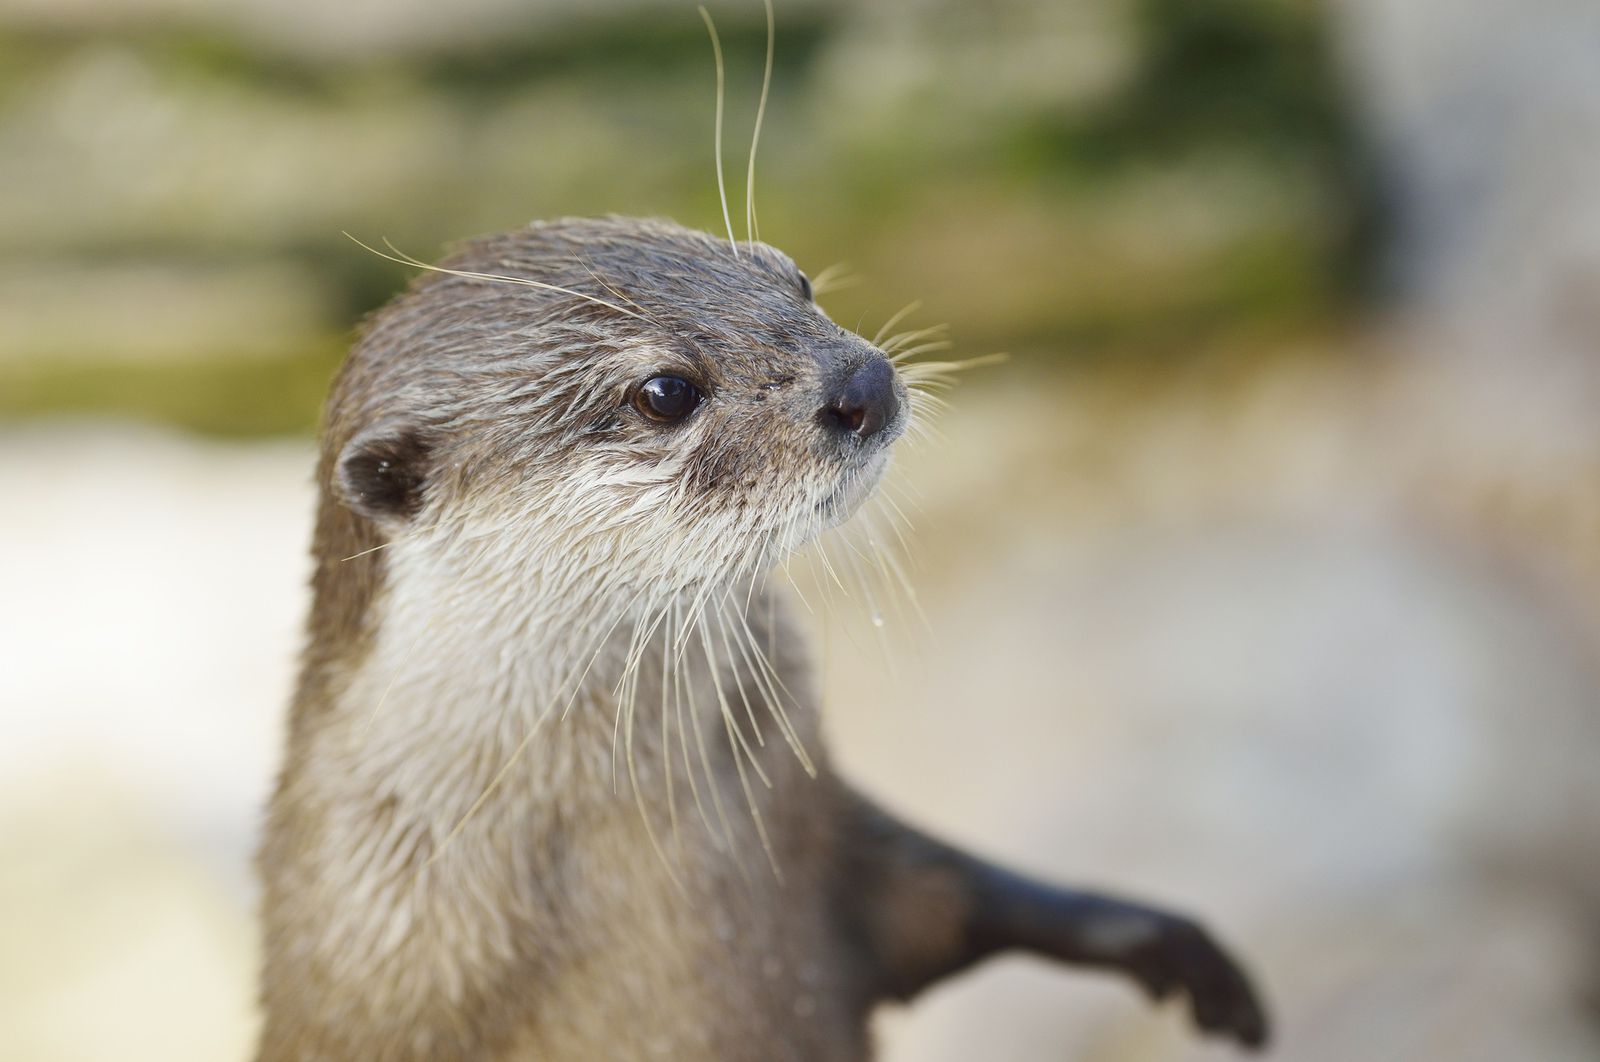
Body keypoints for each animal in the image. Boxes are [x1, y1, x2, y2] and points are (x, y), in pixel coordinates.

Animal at [256, 217, 1267, 1062]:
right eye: (665, 392)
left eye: (796, 279)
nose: (864, 383)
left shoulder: (831, 849)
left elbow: (946, 898)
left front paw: (1173, 950)